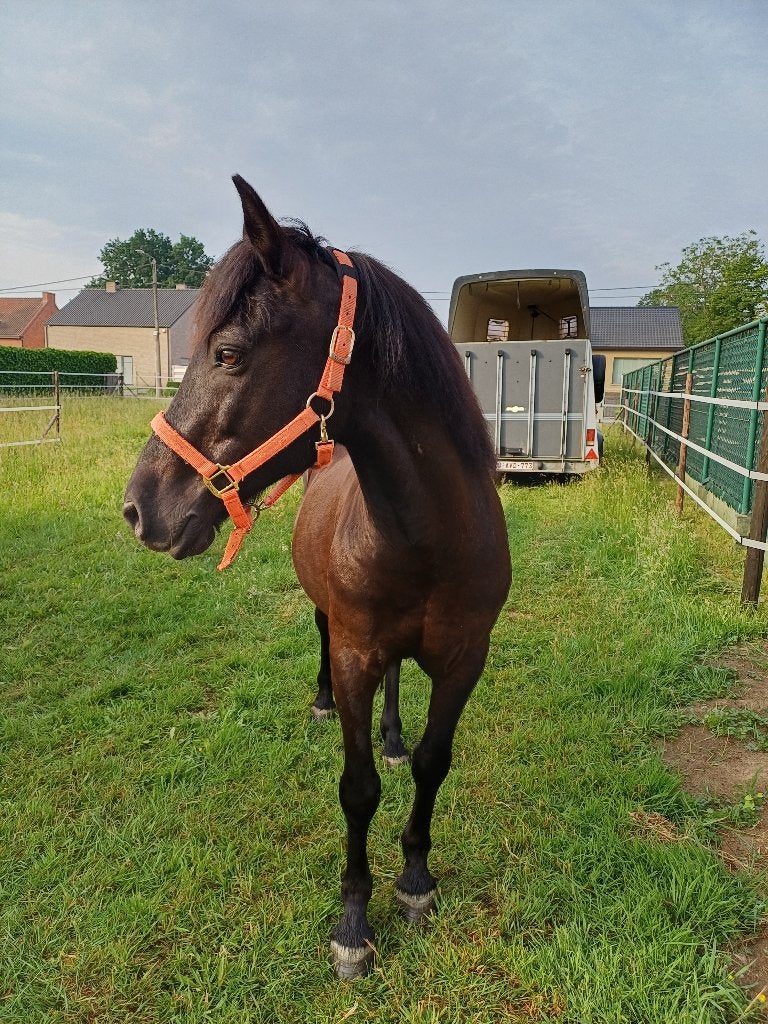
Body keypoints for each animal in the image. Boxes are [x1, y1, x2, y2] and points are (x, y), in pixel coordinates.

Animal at [123, 176, 511, 978]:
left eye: (228, 352)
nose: (139, 508)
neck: (430, 537)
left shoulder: (465, 659)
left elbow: (432, 764)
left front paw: (416, 880)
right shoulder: (357, 652)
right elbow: (358, 789)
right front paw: (353, 922)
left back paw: (391, 735)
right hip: (332, 626)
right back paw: (324, 705)